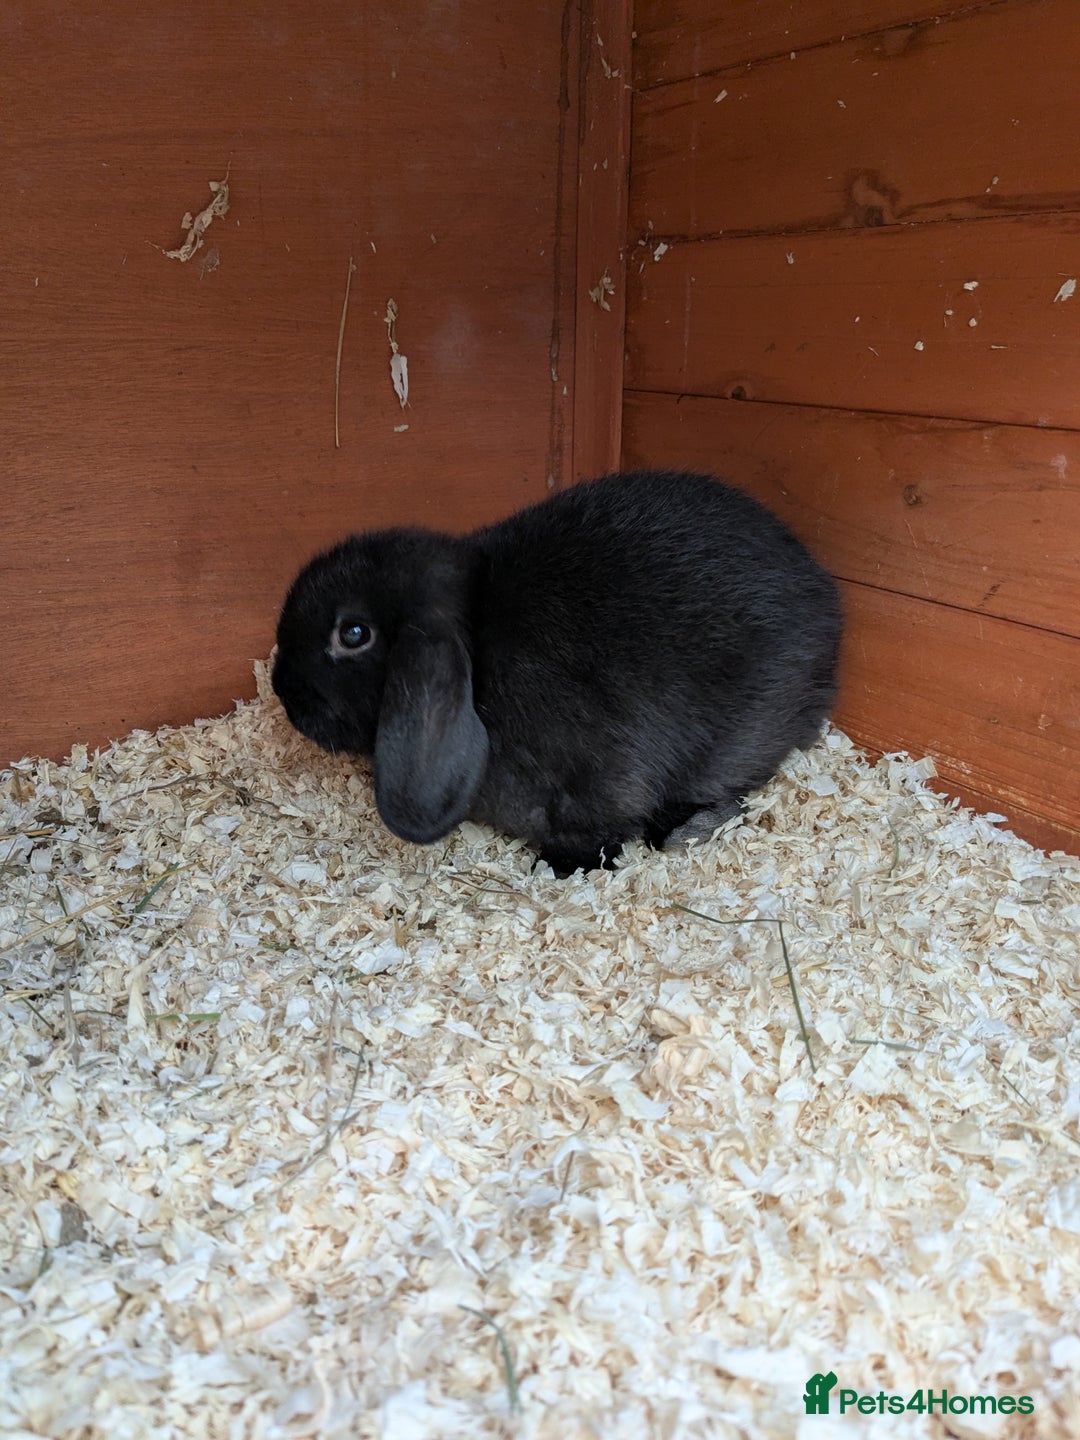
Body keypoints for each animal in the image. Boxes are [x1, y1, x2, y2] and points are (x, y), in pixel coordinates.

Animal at [272, 470, 842, 875]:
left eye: (353, 634)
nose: (284, 695)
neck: (480, 640)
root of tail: (826, 601)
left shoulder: (599, 778)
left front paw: (561, 867)